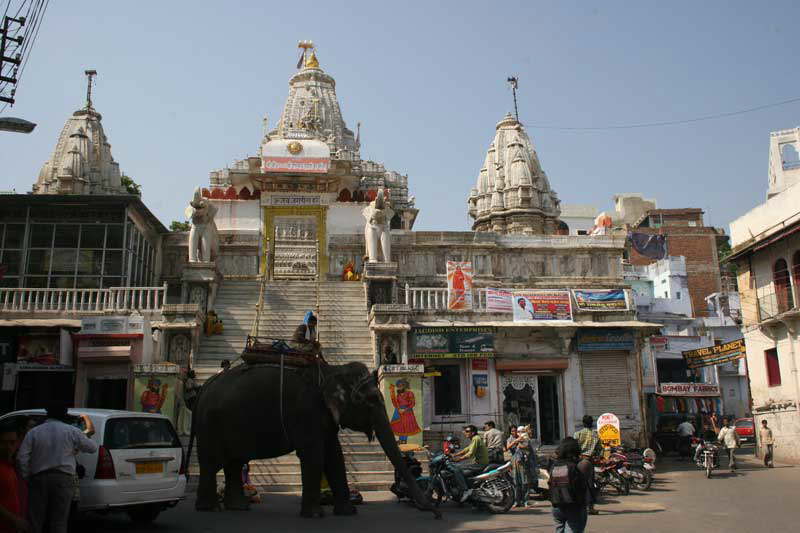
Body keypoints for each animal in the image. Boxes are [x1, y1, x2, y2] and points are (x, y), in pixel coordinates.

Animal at [188, 360, 440, 516]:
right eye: (370, 400)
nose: (435, 512)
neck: (330, 371)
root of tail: (203, 388)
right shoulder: (306, 411)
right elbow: (314, 456)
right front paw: (315, 515)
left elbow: (335, 458)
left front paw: (348, 512)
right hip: (209, 423)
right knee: (211, 463)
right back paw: (209, 508)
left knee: (233, 463)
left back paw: (238, 507)